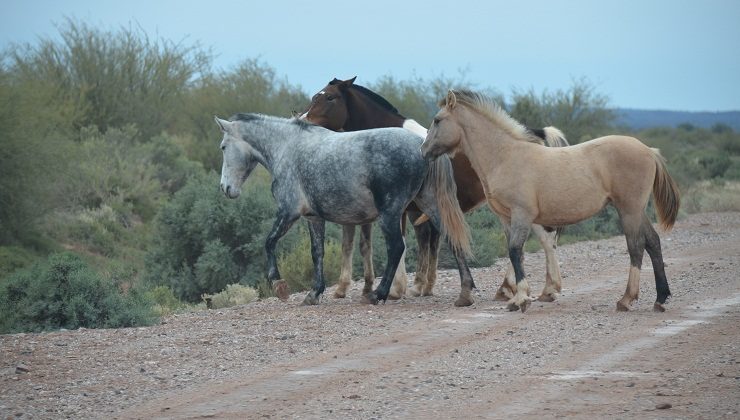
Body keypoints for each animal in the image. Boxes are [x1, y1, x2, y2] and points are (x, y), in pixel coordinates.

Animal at [214, 114, 472, 306]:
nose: (226, 188)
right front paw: (314, 293)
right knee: (451, 239)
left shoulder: (288, 212)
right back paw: (465, 293)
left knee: (397, 248)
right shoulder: (313, 218)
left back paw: (377, 294)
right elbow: (317, 253)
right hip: (430, 204)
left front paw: (279, 285)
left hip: (390, 214)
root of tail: (421, 146)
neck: (288, 148)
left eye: (223, 146)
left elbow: (269, 243)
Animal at [304, 77, 568, 304]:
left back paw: (540, 288)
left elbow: (400, 244)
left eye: (330, 97)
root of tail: (535, 135)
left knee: (544, 240)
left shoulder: (398, 210)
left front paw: (395, 289)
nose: (304, 119)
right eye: (316, 96)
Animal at [422, 90, 684, 314]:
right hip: (637, 211)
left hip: (629, 210)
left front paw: (520, 299)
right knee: (653, 243)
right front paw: (518, 294)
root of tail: (649, 151)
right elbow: (516, 253)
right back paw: (660, 298)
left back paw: (626, 299)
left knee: (636, 247)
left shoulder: (522, 215)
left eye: (437, 120)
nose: (423, 151)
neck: (505, 157)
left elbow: (515, 251)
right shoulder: (507, 219)